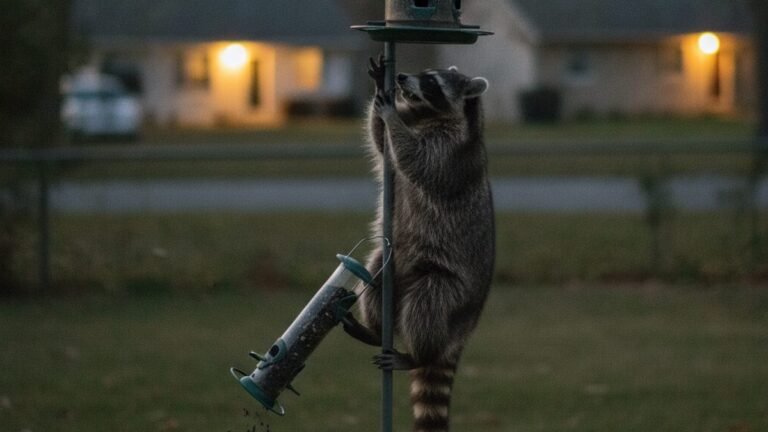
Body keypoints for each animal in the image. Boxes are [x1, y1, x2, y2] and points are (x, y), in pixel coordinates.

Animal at [342, 56, 495, 432]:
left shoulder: (450, 155)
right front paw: (379, 94)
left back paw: (417, 355)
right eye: (424, 75)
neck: (429, 116)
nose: (400, 78)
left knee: (428, 304)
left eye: (432, 84)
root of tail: (463, 329)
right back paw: (375, 330)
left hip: (452, 288)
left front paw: (391, 116)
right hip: (391, 262)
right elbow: (382, 145)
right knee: (375, 276)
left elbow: (416, 160)